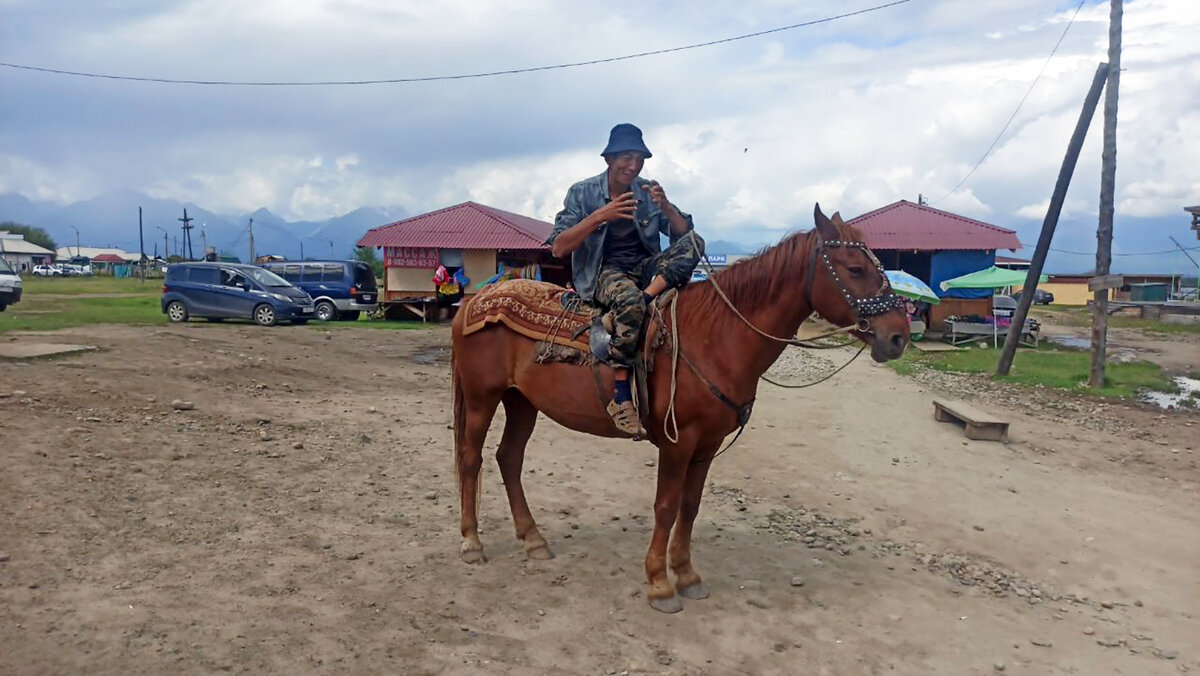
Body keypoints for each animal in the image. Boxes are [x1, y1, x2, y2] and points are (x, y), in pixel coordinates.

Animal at [450, 204, 909, 613]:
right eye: (854, 269)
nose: (899, 337)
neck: (716, 337)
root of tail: (476, 300)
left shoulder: (707, 444)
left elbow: (689, 507)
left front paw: (687, 576)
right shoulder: (678, 441)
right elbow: (666, 507)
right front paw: (659, 584)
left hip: (521, 401)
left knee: (509, 458)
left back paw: (533, 539)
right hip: (482, 397)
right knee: (472, 459)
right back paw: (471, 542)